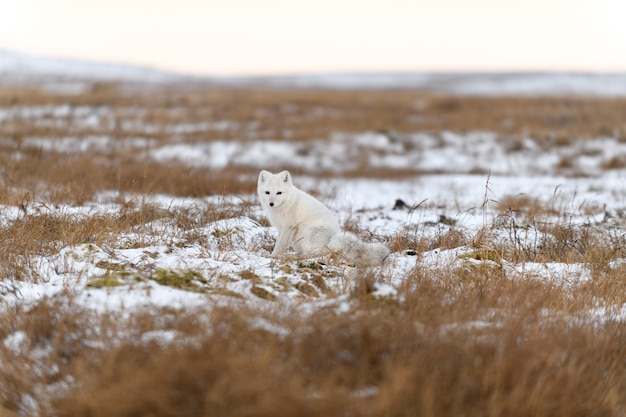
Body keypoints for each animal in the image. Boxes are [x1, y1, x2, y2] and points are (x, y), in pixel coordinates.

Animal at [256, 170, 388, 264]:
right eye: (267, 192)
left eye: (279, 193)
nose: (271, 204)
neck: (286, 203)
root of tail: (334, 238)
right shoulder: (281, 228)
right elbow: (278, 242)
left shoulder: (288, 227)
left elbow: (279, 245)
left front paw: (273, 256)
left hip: (309, 232)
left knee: (316, 253)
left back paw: (290, 256)